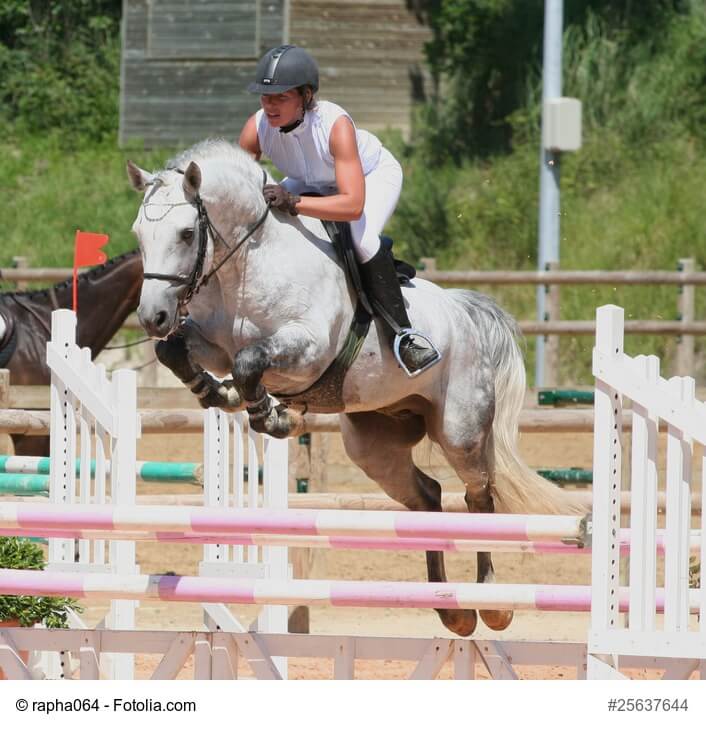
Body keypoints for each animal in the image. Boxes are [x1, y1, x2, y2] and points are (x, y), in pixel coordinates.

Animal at [127, 139, 585, 638]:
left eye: (187, 233)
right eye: (139, 235)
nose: (152, 317)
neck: (250, 264)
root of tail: (465, 311)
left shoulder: (306, 349)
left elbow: (250, 362)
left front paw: (272, 413)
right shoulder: (212, 346)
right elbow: (178, 353)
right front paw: (223, 395)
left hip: (460, 430)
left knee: (479, 494)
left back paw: (491, 603)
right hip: (373, 445)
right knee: (428, 496)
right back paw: (453, 610)